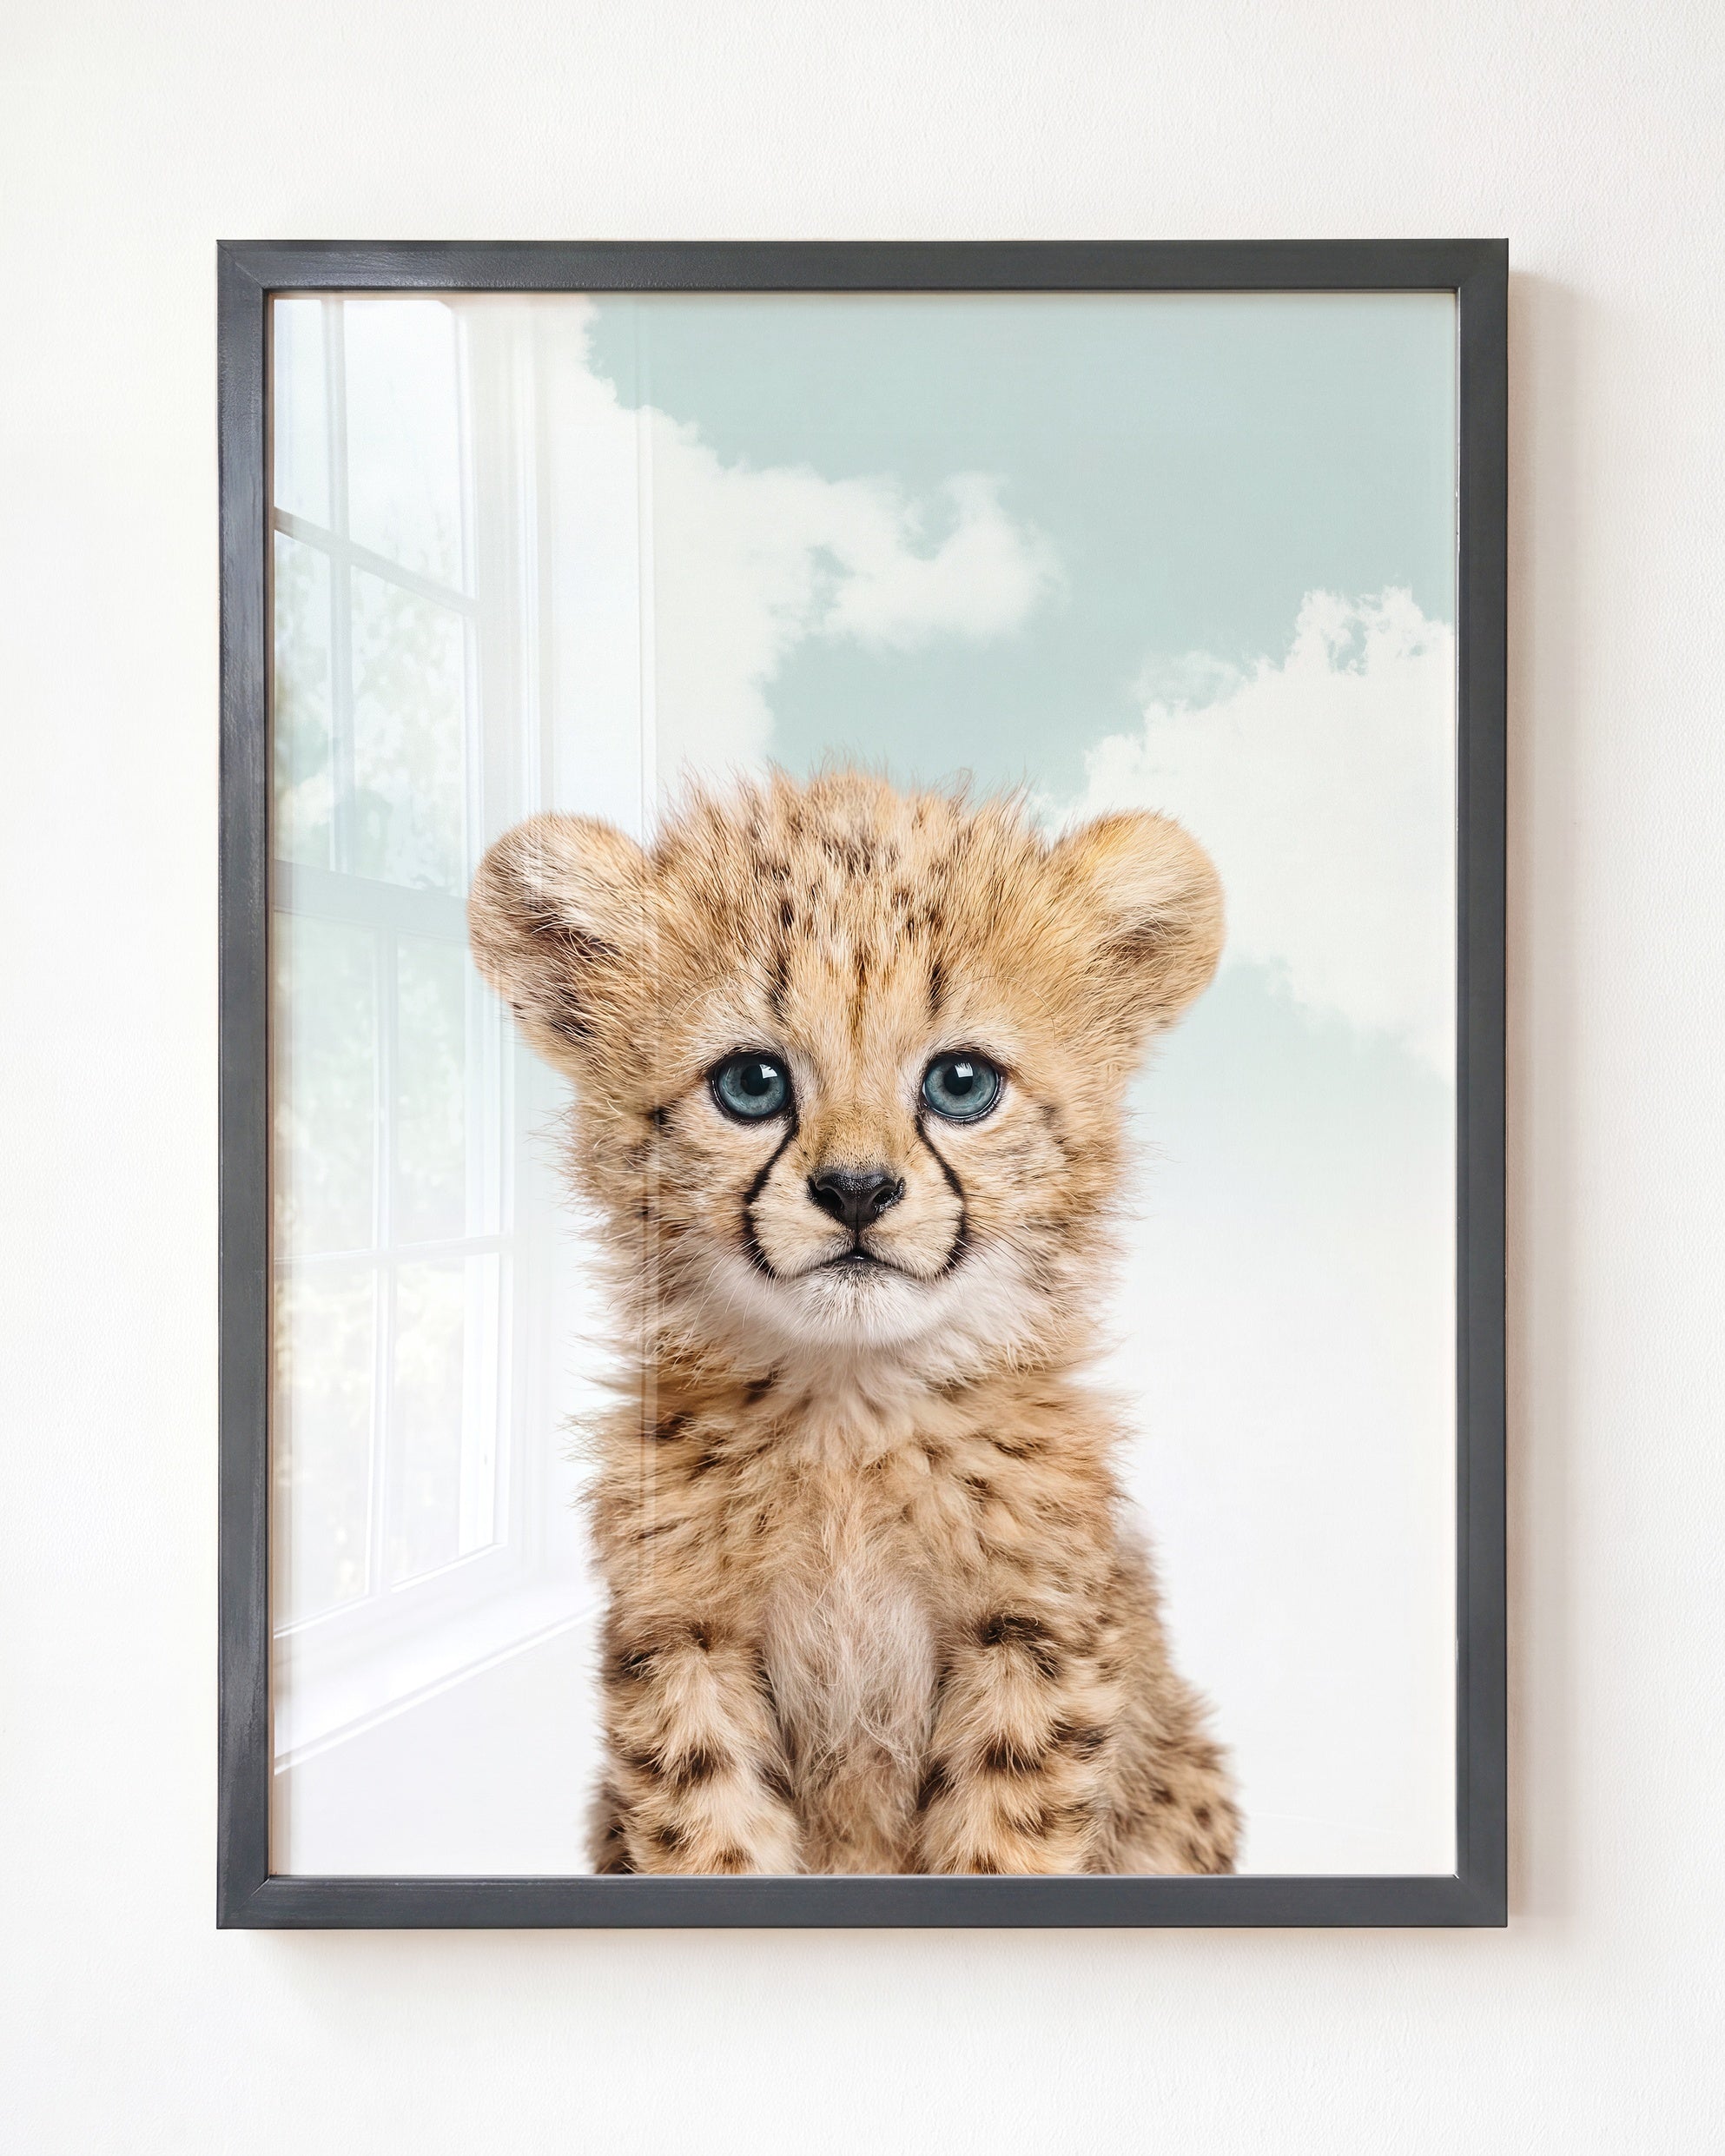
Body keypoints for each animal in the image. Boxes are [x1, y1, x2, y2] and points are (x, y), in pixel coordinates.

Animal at [469, 767, 1239, 1875]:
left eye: (961, 1083)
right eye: (752, 1083)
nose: (858, 1190)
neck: (850, 1407)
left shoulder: (1033, 1636)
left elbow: (1001, 1844)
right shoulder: (686, 1636)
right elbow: (711, 1836)